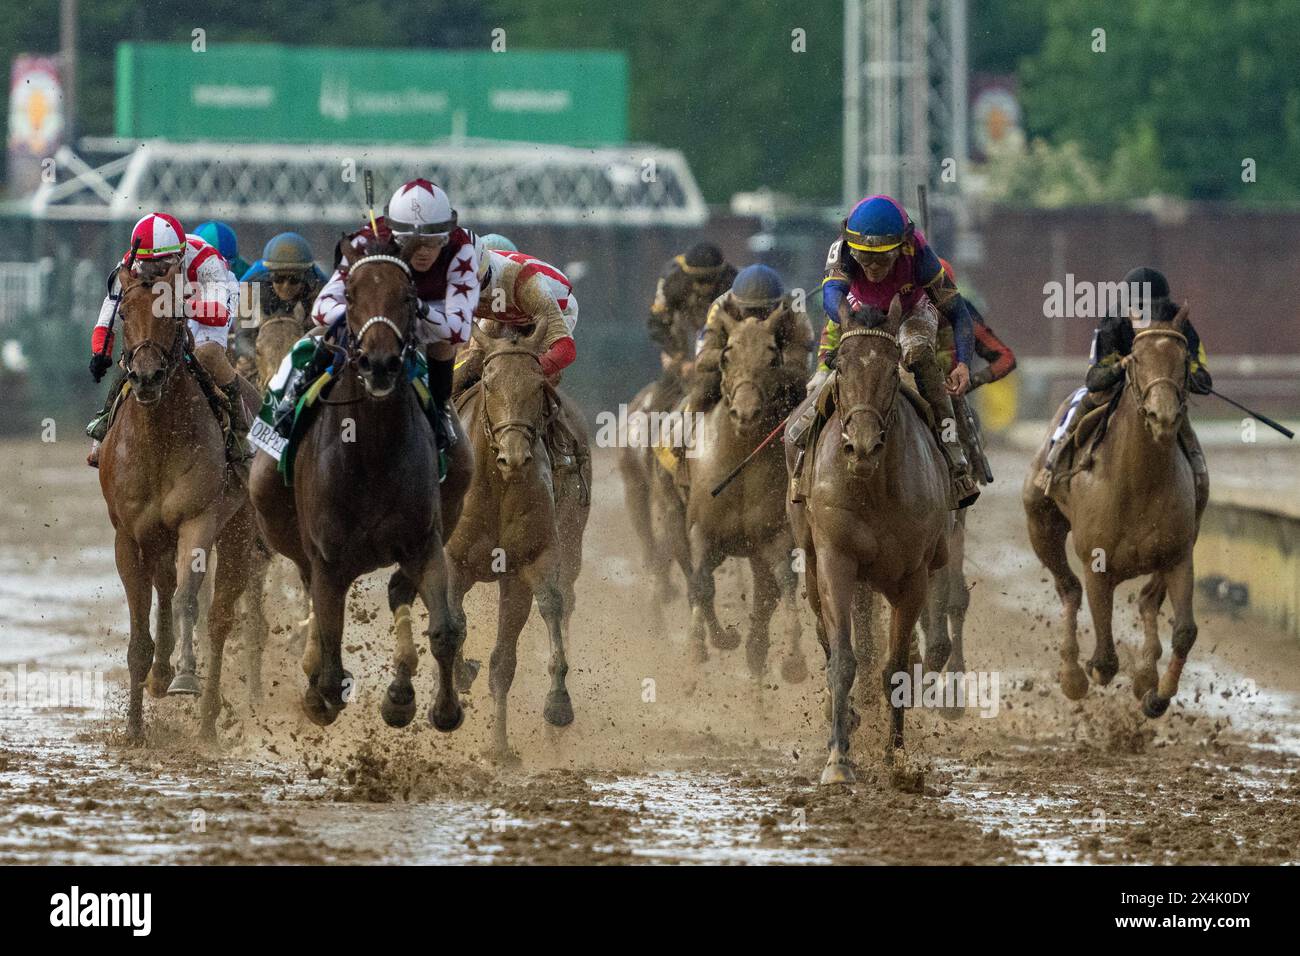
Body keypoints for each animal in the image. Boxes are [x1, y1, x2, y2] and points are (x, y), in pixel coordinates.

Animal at [101, 261, 266, 738]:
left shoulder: (199, 520)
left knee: (220, 617)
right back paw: (160, 676)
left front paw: (185, 678)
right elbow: (141, 628)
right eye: (124, 314)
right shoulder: (128, 536)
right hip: (159, 540)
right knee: (165, 588)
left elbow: (189, 601)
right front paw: (134, 729)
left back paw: (208, 720)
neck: (159, 438)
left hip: (239, 529)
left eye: (174, 315)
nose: (146, 376)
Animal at [249, 244, 473, 723]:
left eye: (408, 296)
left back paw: (401, 690)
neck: (371, 451)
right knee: (311, 596)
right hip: (274, 512)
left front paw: (442, 709)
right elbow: (331, 660)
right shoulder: (329, 561)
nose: (380, 363)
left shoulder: (424, 542)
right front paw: (320, 691)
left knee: (398, 590)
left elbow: (444, 630)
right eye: (349, 296)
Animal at [785, 299, 951, 785]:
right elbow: (843, 658)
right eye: (839, 365)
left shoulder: (913, 575)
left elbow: (895, 667)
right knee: (825, 631)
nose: (861, 447)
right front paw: (839, 760)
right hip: (813, 564)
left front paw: (897, 759)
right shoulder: (836, 560)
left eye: (894, 369)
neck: (872, 487)